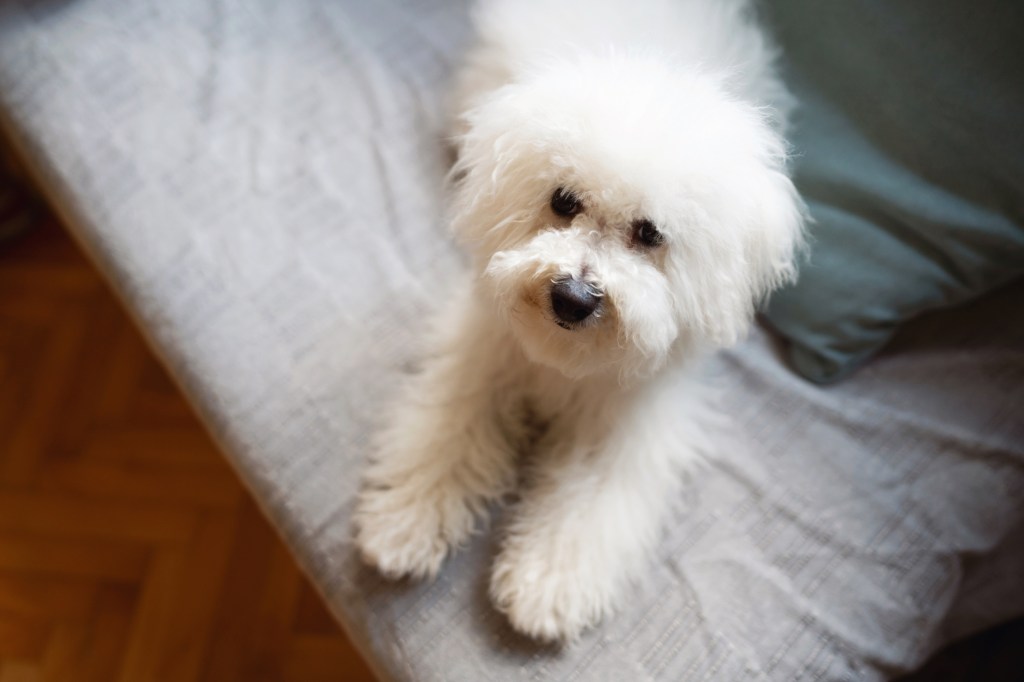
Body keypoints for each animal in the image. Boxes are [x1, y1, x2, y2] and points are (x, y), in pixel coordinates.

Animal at [356, 0, 802, 638]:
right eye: (563, 201)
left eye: (650, 233)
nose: (572, 297)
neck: (565, 363)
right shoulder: (482, 357)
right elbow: (447, 434)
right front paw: (405, 520)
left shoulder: (626, 422)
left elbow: (584, 501)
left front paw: (546, 585)